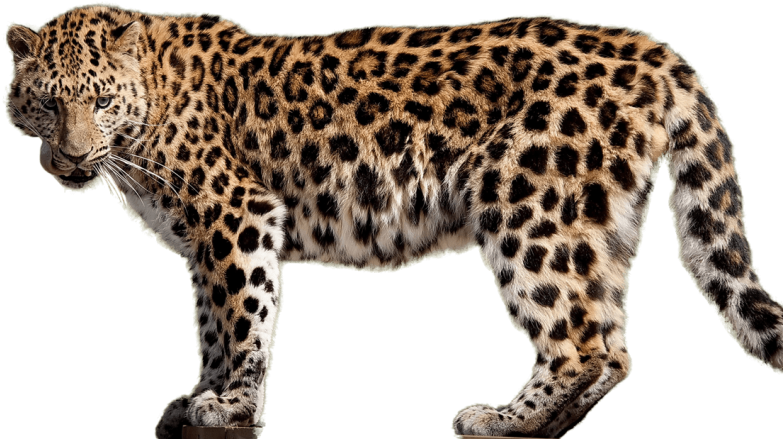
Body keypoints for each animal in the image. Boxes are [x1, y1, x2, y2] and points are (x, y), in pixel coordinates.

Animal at [5, 4, 781, 438]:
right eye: (46, 103)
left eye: (101, 102)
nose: (69, 157)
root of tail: (653, 49)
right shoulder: (202, 242)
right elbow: (211, 324)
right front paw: (201, 396)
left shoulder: (237, 215)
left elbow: (242, 315)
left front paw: (231, 407)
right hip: (595, 224)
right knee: (612, 341)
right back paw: (543, 424)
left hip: (529, 208)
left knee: (584, 343)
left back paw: (501, 421)